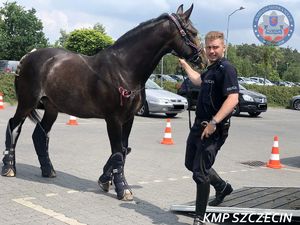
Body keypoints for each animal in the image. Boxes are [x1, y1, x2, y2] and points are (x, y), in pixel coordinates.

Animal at [1, 3, 205, 200]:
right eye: (192, 32)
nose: (202, 59)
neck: (124, 69)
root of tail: (27, 57)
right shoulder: (113, 119)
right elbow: (117, 152)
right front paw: (123, 189)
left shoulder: (129, 119)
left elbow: (123, 150)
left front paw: (106, 179)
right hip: (27, 103)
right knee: (14, 126)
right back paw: (9, 167)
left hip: (52, 108)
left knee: (39, 134)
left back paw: (48, 169)